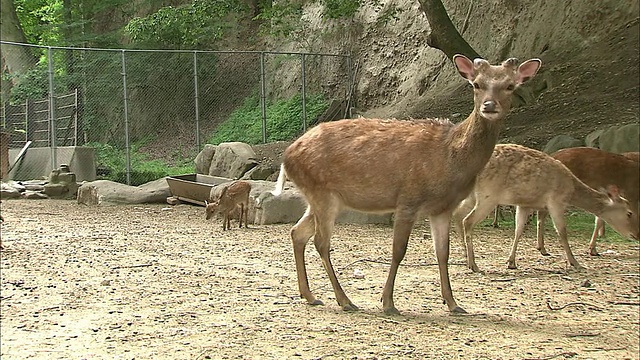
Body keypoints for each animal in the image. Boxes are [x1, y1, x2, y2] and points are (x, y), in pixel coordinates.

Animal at [272, 54, 544, 316]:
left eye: (510, 86)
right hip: (322, 193)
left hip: (324, 198)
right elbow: (398, 250)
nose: (489, 106)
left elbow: (442, 253)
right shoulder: (408, 199)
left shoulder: (443, 208)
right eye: (476, 84)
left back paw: (310, 295)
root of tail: (287, 157)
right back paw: (345, 300)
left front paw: (453, 304)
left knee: (297, 232)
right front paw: (388, 303)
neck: (451, 158)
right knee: (321, 242)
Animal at [452, 145, 636, 272]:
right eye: (629, 213)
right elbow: (562, 231)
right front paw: (575, 262)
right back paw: (474, 264)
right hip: (488, 196)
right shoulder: (556, 200)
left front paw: (511, 262)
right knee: (467, 220)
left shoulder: (525, 204)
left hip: (472, 196)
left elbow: (518, 229)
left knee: (458, 214)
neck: (572, 189)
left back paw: (465, 256)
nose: (635, 234)